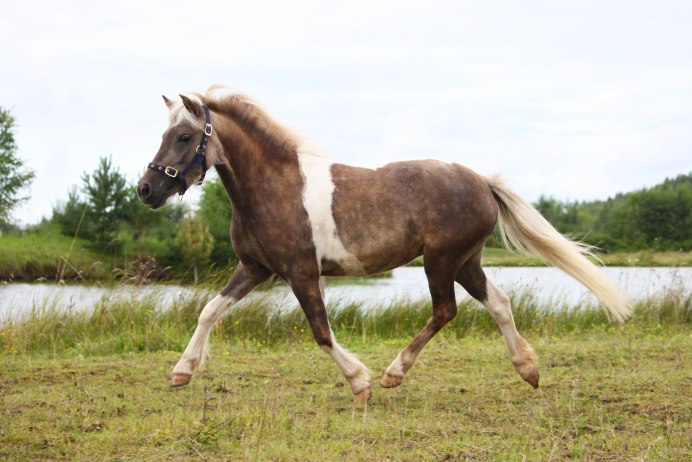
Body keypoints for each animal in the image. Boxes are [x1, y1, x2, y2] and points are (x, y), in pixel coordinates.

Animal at [137, 85, 632, 400]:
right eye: (163, 135)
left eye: (184, 136)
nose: (146, 190)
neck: (274, 187)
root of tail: (481, 182)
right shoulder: (255, 268)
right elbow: (209, 310)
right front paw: (181, 373)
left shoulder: (301, 273)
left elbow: (320, 332)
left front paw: (360, 382)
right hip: (466, 262)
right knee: (499, 303)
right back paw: (528, 371)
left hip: (440, 260)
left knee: (445, 310)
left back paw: (395, 374)